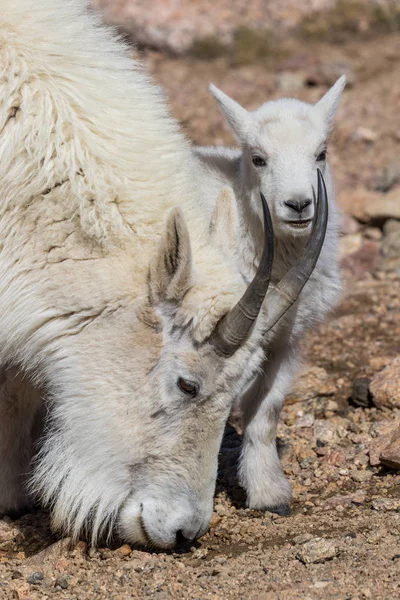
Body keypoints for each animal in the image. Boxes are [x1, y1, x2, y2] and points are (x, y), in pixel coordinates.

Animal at [195, 78, 346, 510]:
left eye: (321, 154)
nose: (298, 205)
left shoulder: (282, 340)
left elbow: (266, 412)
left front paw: (268, 492)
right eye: (258, 158)